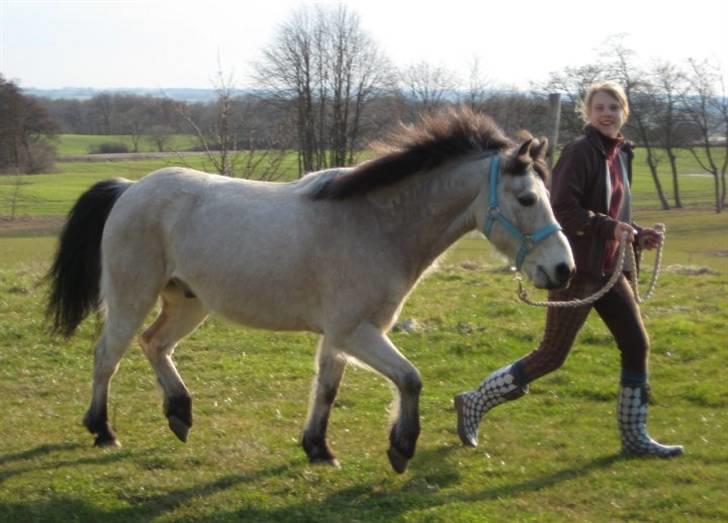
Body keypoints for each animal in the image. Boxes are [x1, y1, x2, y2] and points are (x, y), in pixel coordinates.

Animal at [47, 107, 576, 474]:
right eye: (527, 198)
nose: (563, 269)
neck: (375, 224)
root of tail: (129, 189)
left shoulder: (344, 336)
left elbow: (328, 387)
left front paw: (318, 448)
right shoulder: (354, 331)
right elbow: (410, 379)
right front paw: (401, 447)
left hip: (187, 302)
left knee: (154, 345)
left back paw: (179, 413)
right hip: (131, 296)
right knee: (107, 355)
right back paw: (103, 430)